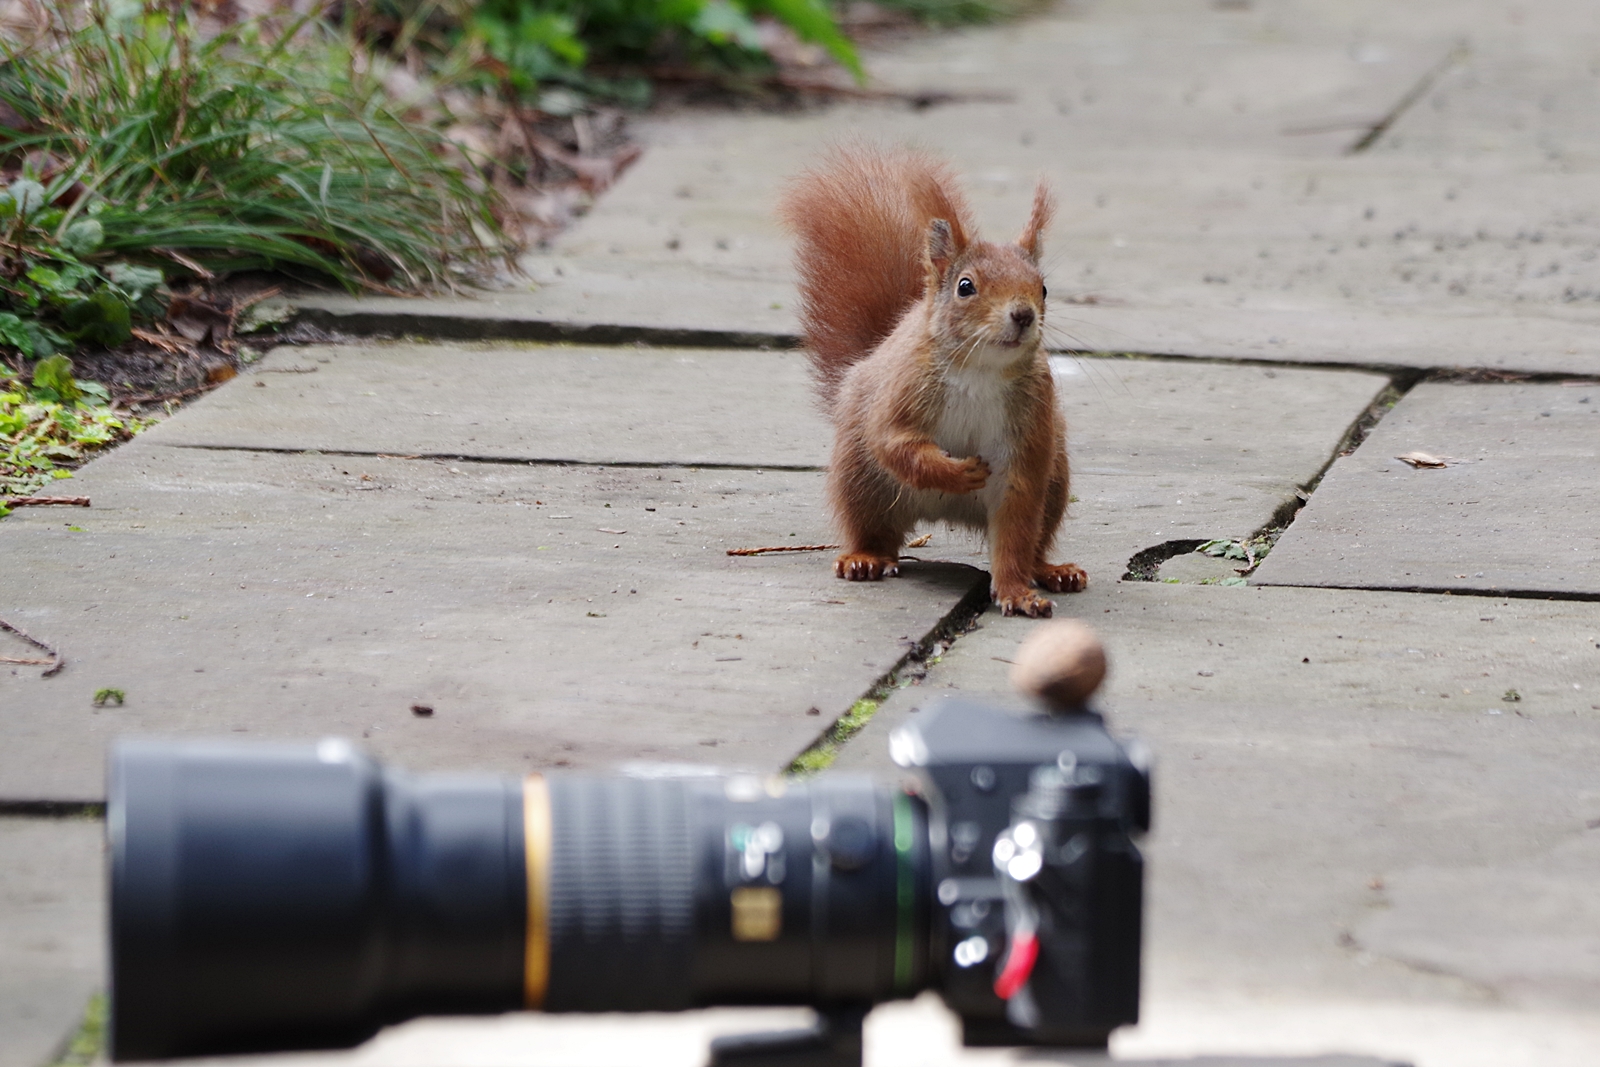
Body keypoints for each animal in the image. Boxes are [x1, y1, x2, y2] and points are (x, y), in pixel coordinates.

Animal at [777, 146, 1088, 620]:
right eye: (965, 286)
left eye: (1044, 289)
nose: (1023, 315)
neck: (980, 371)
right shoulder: (903, 390)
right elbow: (895, 443)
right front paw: (958, 472)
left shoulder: (1028, 436)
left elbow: (1015, 528)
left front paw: (1016, 592)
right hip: (859, 478)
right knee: (875, 532)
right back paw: (865, 559)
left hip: (1054, 481)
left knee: (1033, 542)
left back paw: (1051, 570)